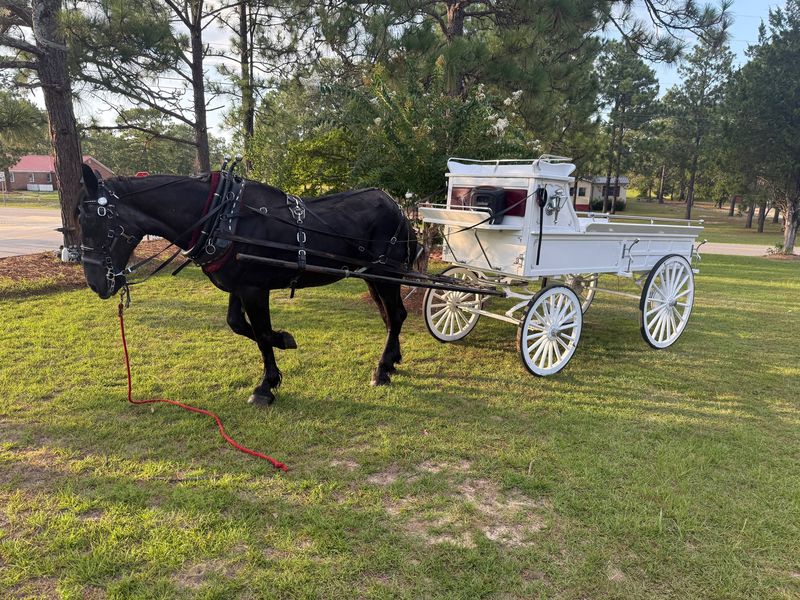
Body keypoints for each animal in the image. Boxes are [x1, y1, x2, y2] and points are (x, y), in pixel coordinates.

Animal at [78, 163, 418, 406]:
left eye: (94, 221)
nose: (96, 284)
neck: (221, 215)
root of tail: (397, 207)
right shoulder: (238, 286)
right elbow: (239, 325)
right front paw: (282, 348)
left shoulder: (255, 288)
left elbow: (263, 333)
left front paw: (267, 383)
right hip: (372, 276)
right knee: (389, 317)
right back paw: (392, 360)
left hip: (384, 273)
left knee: (396, 315)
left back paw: (382, 370)